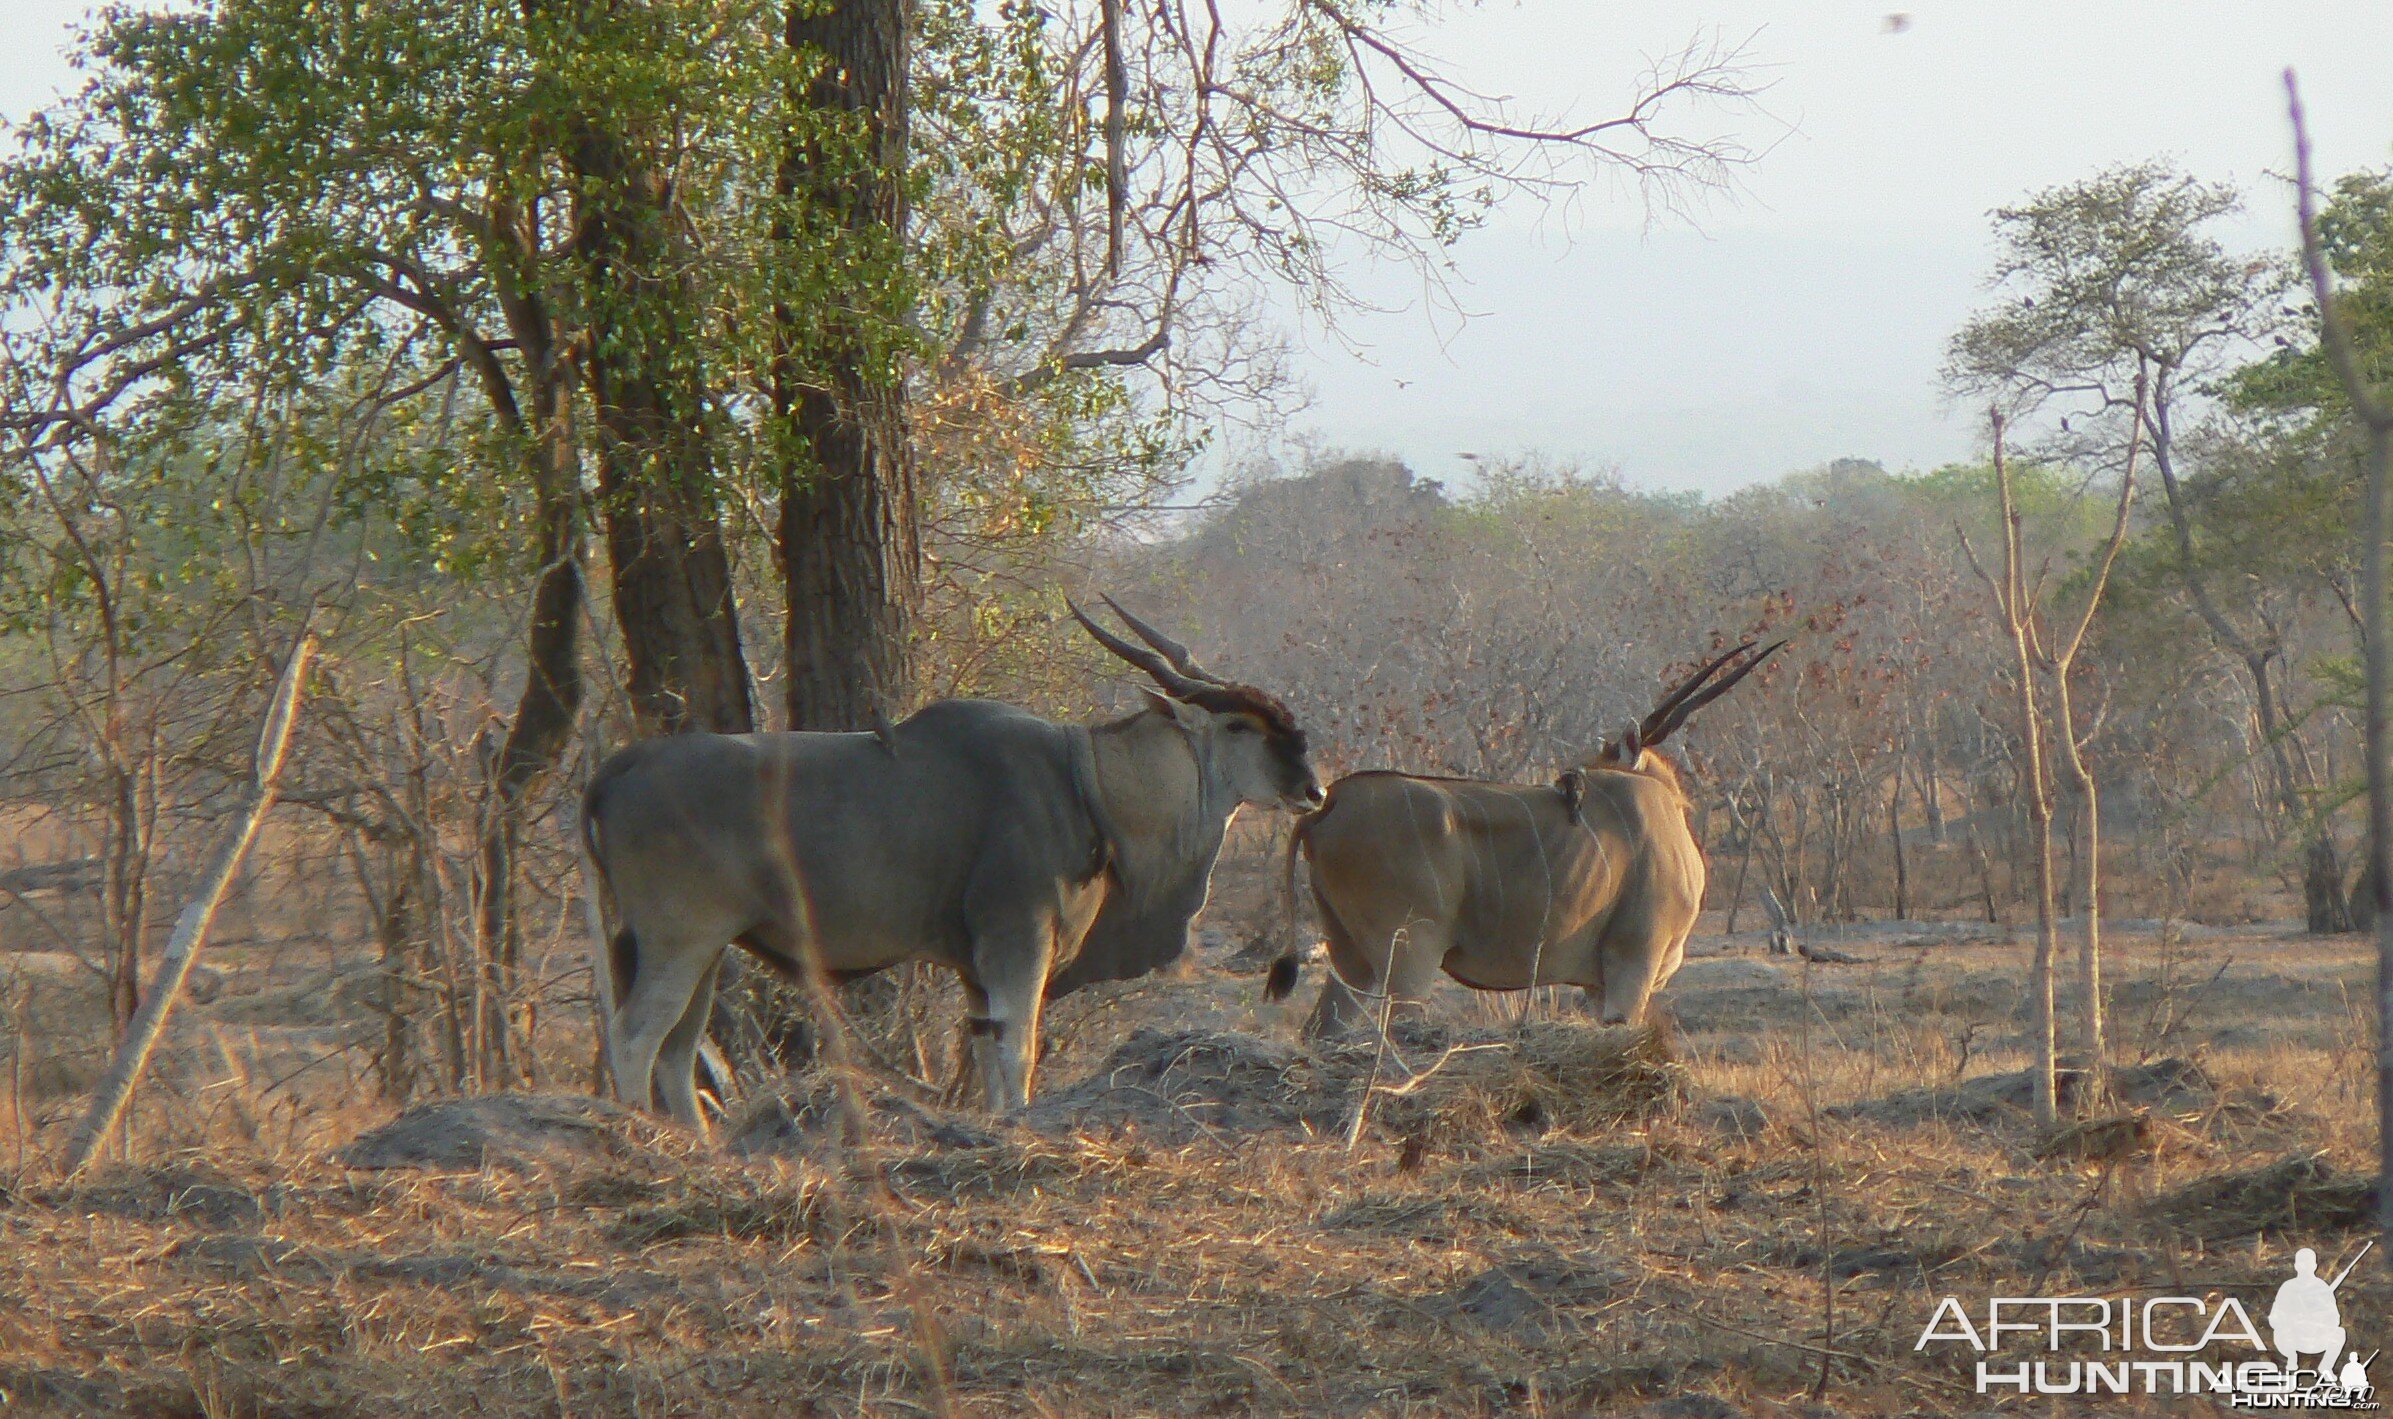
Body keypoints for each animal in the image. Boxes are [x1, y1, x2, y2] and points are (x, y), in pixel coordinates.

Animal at [583, 598, 1330, 1129]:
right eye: (1239, 726)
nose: (1313, 788)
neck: (1084, 782)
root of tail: (617, 771)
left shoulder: (976, 971)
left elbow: (989, 1058)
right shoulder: (1016, 943)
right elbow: (1019, 1052)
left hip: (703, 948)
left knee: (677, 1050)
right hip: (680, 939)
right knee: (635, 1035)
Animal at [1263, 641, 1789, 1028]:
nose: (1569, 784)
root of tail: (1330, 802)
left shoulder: (1599, 984)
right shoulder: (1632, 967)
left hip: (1352, 958)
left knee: (1324, 1029)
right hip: (1409, 955)